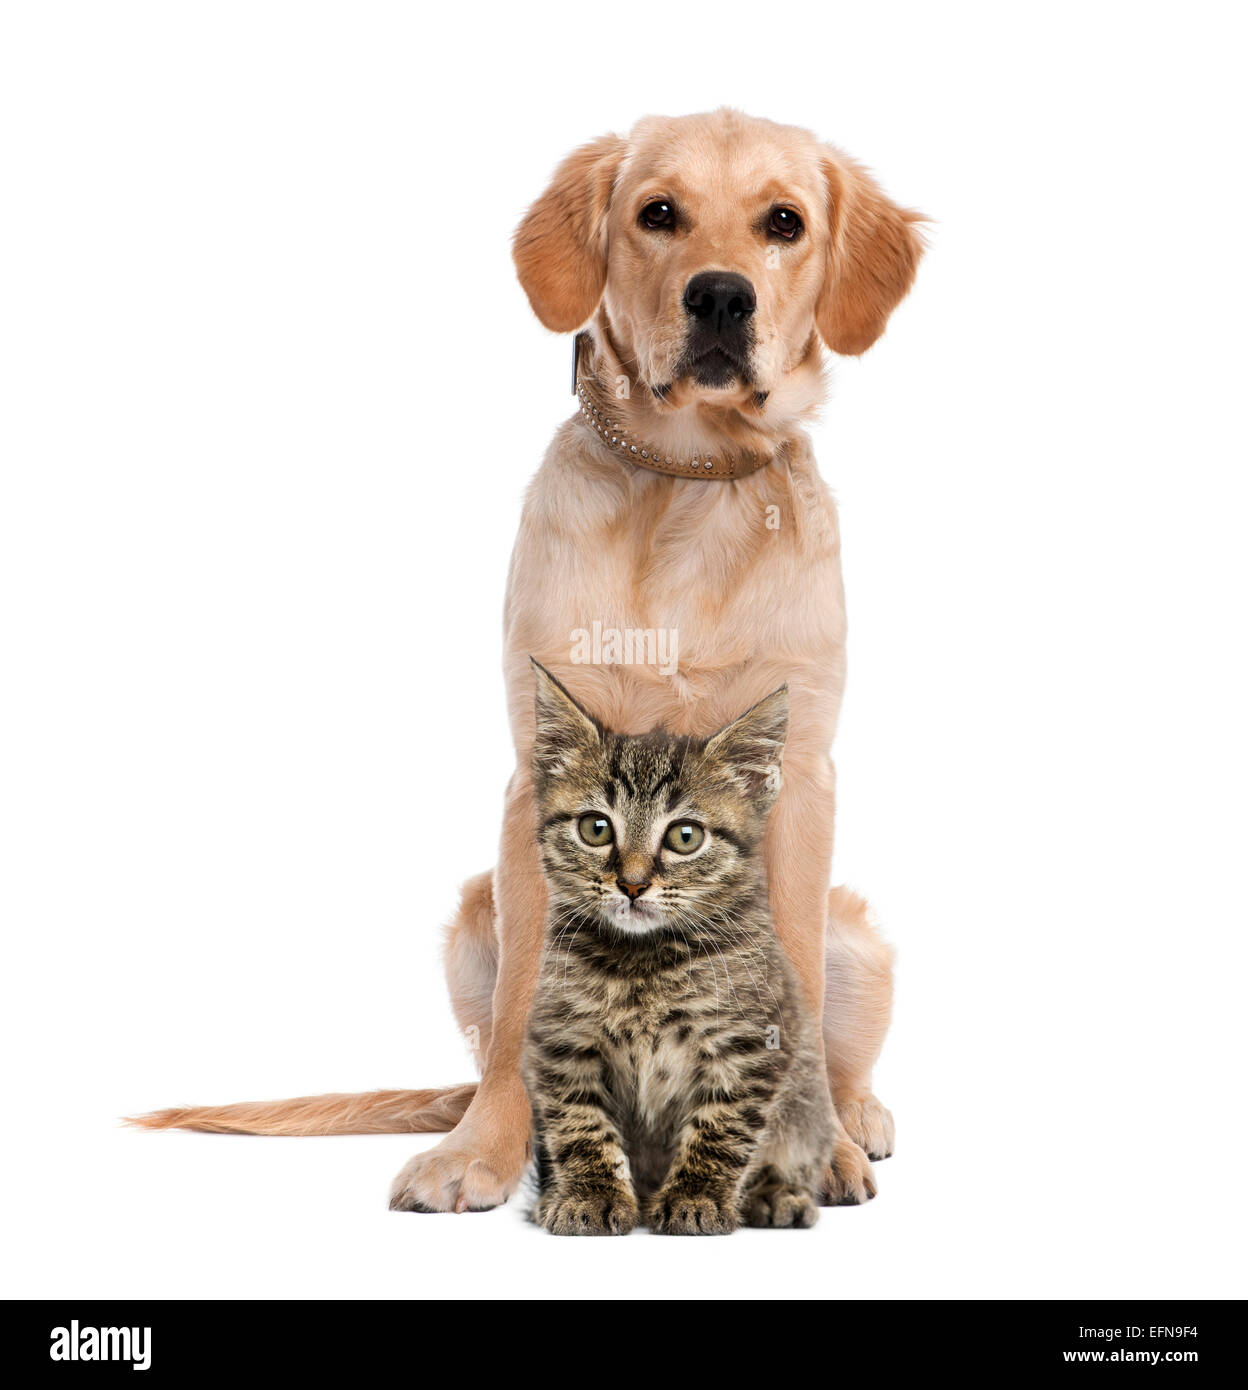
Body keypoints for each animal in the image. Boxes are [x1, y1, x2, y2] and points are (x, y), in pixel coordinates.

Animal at [519, 661, 833, 1239]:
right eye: (596, 828)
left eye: (685, 836)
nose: (633, 884)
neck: (644, 962)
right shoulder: (561, 1039)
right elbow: (579, 1123)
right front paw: (590, 1194)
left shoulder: (750, 1045)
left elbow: (721, 1129)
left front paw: (696, 1197)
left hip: (808, 1106)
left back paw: (777, 1193)